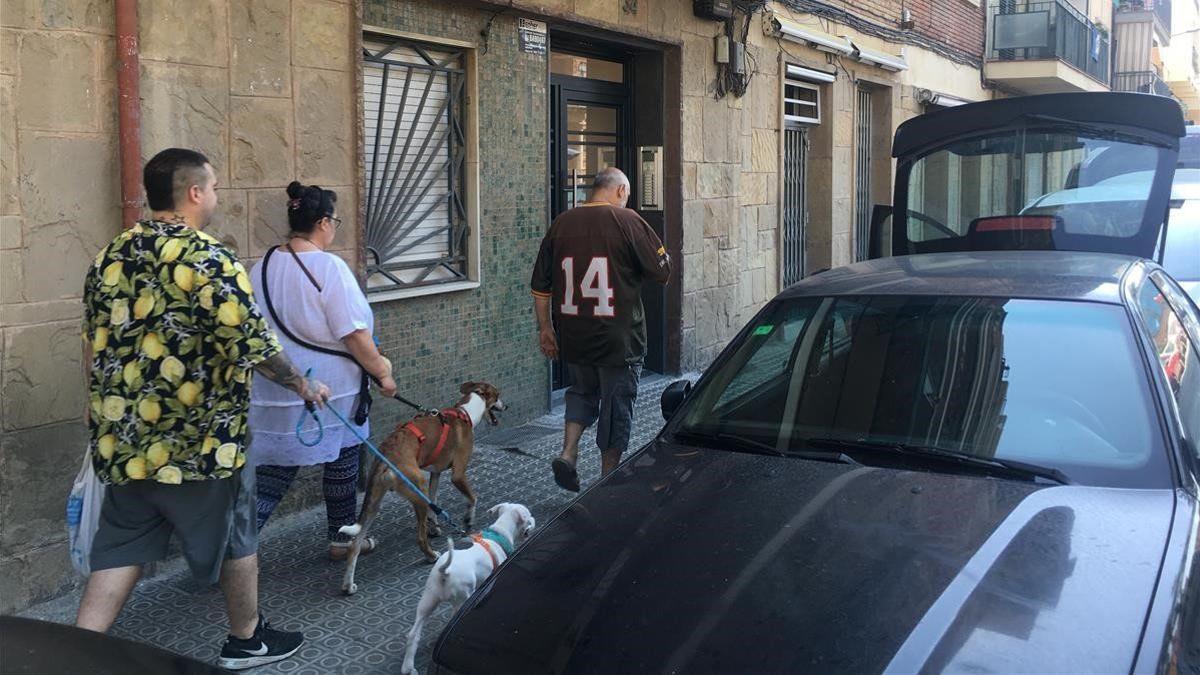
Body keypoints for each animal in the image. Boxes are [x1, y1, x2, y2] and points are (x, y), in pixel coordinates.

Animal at [340, 381, 504, 590]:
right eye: (497, 395)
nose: (506, 406)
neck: (465, 412)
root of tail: (387, 456)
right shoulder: (458, 475)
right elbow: (473, 497)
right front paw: (468, 520)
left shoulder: (435, 473)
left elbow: (434, 502)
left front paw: (434, 526)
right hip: (418, 488)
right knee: (419, 537)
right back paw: (431, 556)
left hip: (374, 503)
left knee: (355, 545)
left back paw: (348, 585)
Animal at [400, 499, 537, 672]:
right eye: (528, 515)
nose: (534, 519)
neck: (500, 532)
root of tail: (444, 571)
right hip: (462, 598)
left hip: (428, 600)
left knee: (413, 634)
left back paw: (408, 667)